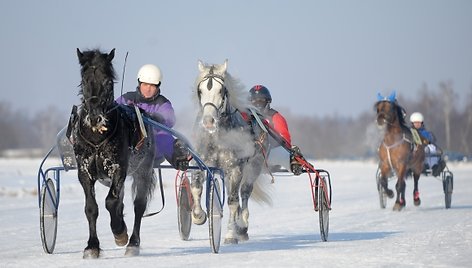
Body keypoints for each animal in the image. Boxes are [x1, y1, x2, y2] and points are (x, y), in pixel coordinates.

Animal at [73, 48, 156, 258]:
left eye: (108, 82)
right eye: (84, 80)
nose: (95, 117)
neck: (96, 138)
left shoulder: (119, 168)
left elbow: (111, 202)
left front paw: (120, 232)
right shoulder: (84, 171)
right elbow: (91, 208)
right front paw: (92, 246)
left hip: (143, 170)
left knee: (138, 206)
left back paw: (133, 242)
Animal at [191, 59, 272, 244]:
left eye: (221, 90)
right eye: (200, 90)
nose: (208, 121)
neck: (216, 138)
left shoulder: (235, 170)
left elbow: (233, 202)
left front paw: (230, 234)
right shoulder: (200, 165)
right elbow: (196, 188)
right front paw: (198, 216)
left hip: (253, 166)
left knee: (244, 193)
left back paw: (241, 226)